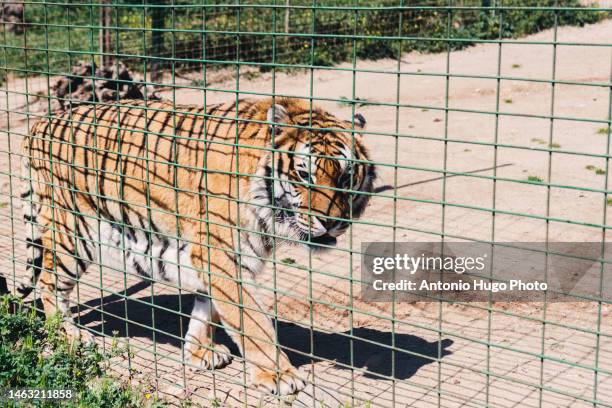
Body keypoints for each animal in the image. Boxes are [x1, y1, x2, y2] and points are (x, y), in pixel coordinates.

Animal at [14, 96, 376, 396]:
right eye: (303, 175)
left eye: (345, 177)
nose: (331, 221)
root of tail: (40, 124)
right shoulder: (220, 255)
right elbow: (252, 322)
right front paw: (278, 375)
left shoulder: (217, 259)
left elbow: (207, 310)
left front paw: (200, 351)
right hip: (73, 232)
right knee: (48, 283)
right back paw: (69, 335)